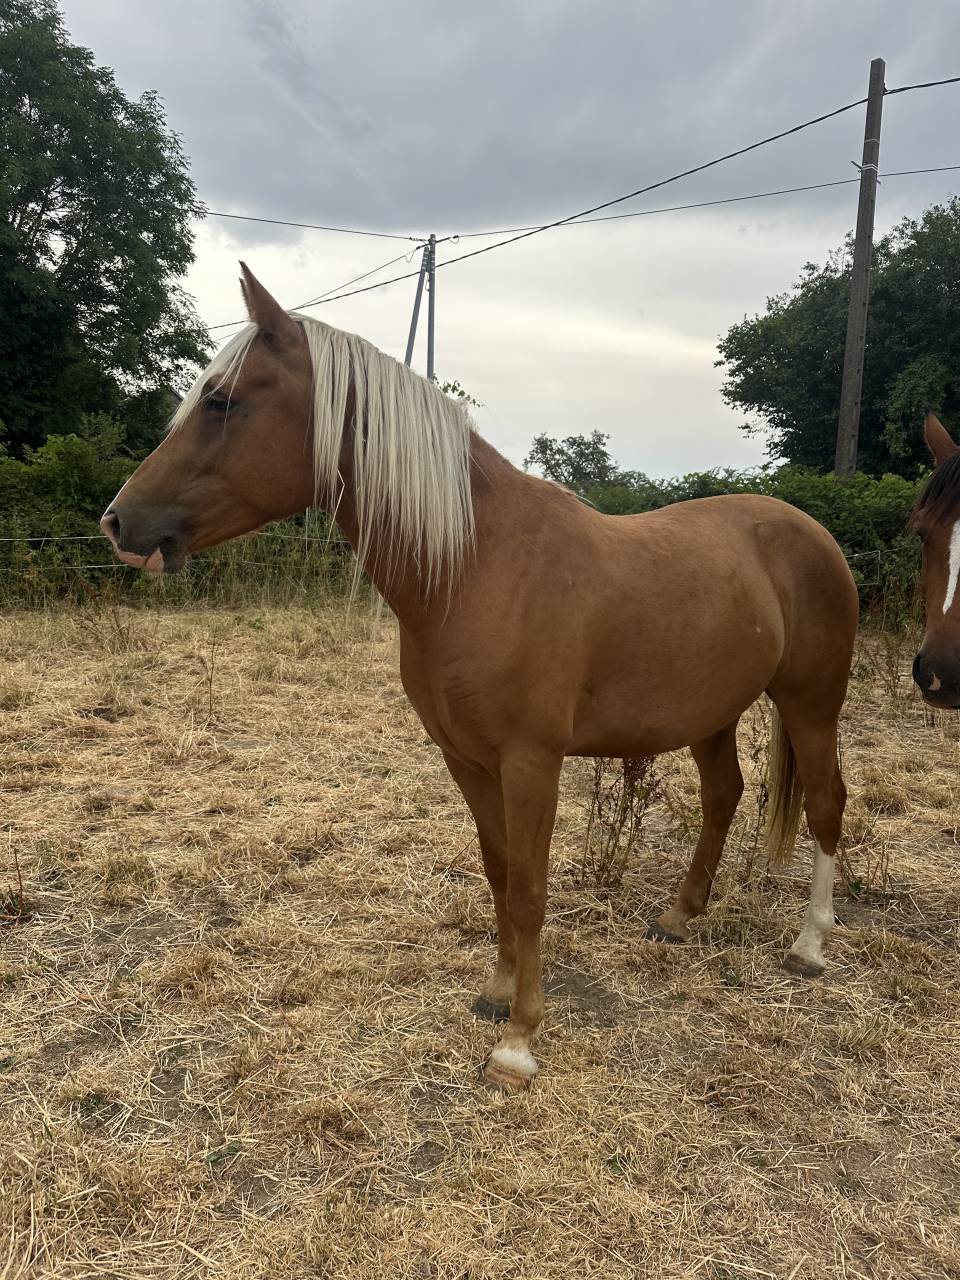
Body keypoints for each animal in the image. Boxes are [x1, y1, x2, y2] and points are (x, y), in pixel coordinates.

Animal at [101, 265, 859, 1090]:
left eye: (222, 401)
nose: (119, 524)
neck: (474, 567)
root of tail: (813, 531)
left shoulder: (531, 762)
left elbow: (528, 888)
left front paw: (518, 1043)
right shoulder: (464, 758)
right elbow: (497, 872)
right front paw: (497, 993)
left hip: (812, 704)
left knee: (826, 804)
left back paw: (810, 945)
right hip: (711, 712)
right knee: (725, 795)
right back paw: (679, 917)